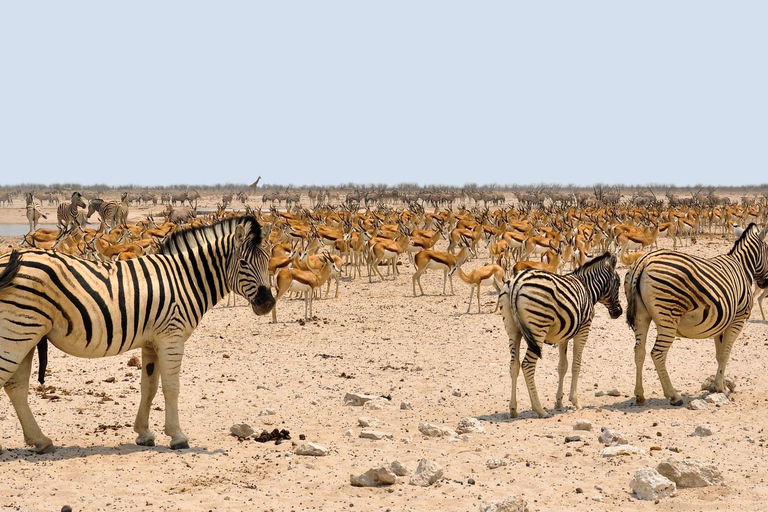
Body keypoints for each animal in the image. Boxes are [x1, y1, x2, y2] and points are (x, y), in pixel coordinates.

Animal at [0, 215, 274, 452]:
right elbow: (171, 387)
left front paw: (144, 433)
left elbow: (148, 387)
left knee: (16, 387)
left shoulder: (151, 341)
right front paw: (177, 436)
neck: (185, 279)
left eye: (268, 261)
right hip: (17, 332)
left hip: (26, 335)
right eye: (243, 264)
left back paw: (40, 441)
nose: (268, 303)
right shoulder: (172, 338)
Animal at [498, 250, 624, 418]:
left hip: (513, 330)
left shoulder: (563, 335)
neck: (587, 288)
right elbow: (576, 364)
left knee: (514, 365)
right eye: (619, 283)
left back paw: (513, 409)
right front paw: (575, 401)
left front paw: (559, 402)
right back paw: (539, 409)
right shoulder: (584, 330)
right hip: (538, 328)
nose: (619, 312)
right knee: (527, 365)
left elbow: (562, 366)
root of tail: (516, 282)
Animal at [624, 222, 768, 406]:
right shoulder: (738, 319)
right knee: (657, 353)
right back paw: (674, 396)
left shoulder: (722, 323)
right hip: (668, 317)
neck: (742, 267)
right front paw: (721, 388)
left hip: (641, 316)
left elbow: (719, 355)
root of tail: (644, 260)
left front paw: (719, 385)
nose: (765, 283)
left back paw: (639, 395)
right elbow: (726, 354)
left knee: (639, 351)